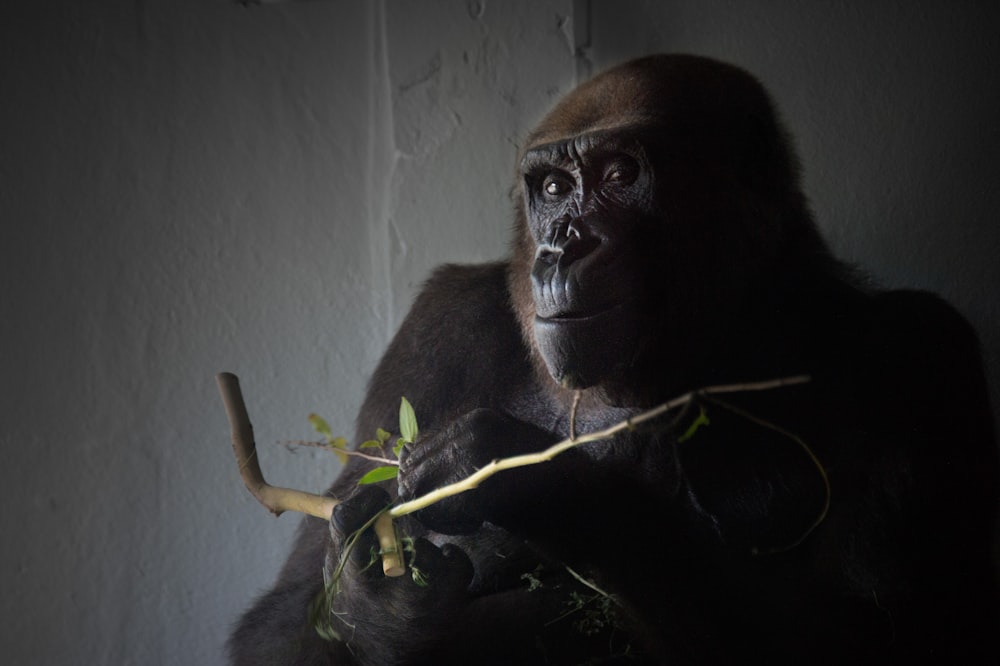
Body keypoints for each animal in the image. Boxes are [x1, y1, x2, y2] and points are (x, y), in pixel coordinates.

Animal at [230, 54, 996, 660]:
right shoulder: (436, 328)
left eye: (621, 173)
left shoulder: (923, 349)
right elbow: (282, 618)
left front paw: (538, 482)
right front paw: (376, 610)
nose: (560, 247)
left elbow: (873, 629)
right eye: (553, 189)